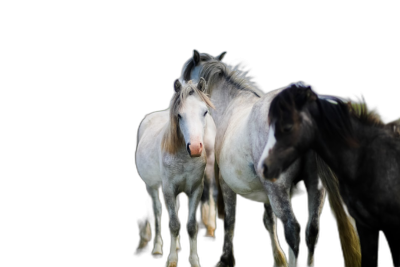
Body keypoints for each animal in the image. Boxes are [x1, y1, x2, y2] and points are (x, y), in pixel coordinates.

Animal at [134, 78, 216, 267]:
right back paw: (157, 248)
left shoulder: (195, 190)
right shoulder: (169, 190)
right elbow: (173, 224)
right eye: (179, 115)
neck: (184, 158)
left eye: (205, 112)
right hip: (152, 187)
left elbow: (191, 226)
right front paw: (171, 259)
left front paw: (194, 260)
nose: (195, 148)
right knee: (157, 212)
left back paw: (177, 246)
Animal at [180, 49, 360, 266]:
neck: (231, 105)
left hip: (279, 189)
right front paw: (278, 259)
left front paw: (224, 259)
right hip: (315, 186)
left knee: (293, 231)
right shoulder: (263, 191)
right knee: (312, 231)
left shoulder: (227, 184)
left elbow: (230, 221)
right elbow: (269, 221)